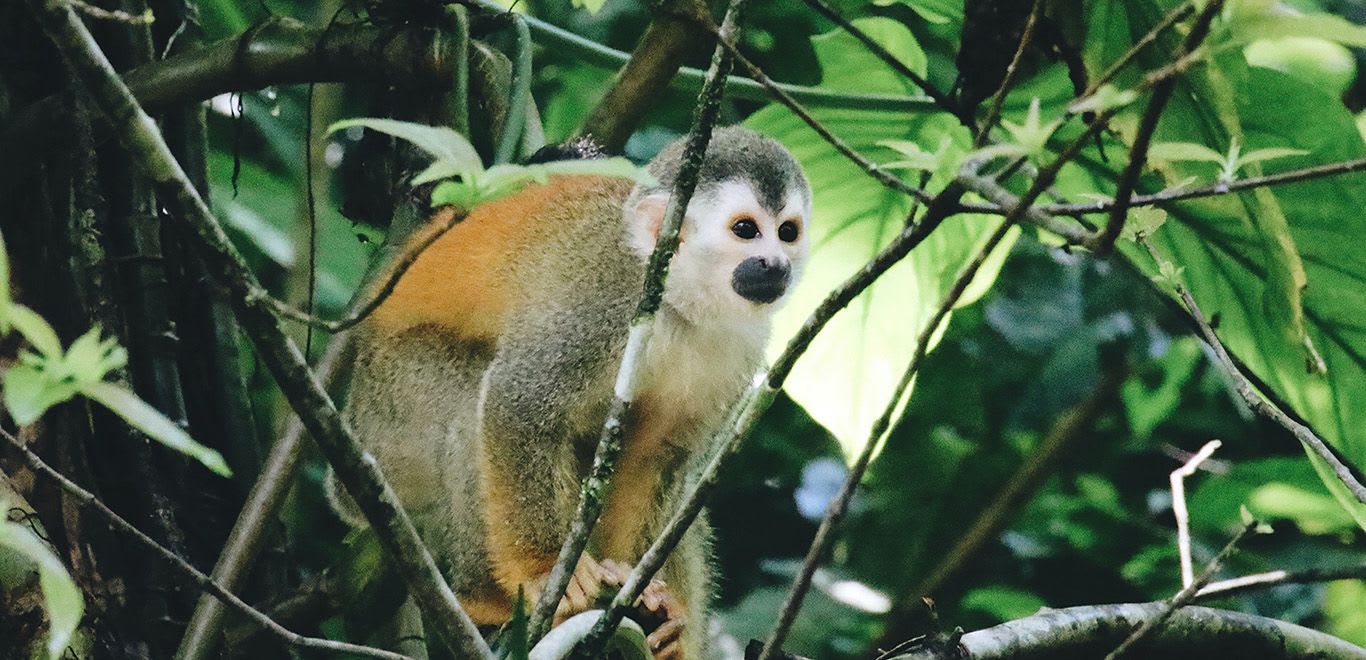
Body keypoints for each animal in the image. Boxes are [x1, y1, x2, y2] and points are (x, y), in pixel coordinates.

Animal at [333, 126, 808, 658]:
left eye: (787, 232)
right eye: (745, 229)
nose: (776, 264)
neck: (677, 302)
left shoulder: (737, 349)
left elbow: (653, 456)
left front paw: (641, 591)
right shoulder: (605, 301)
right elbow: (517, 403)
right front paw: (544, 572)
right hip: (388, 420)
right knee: (470, 397)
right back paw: (485, 596)